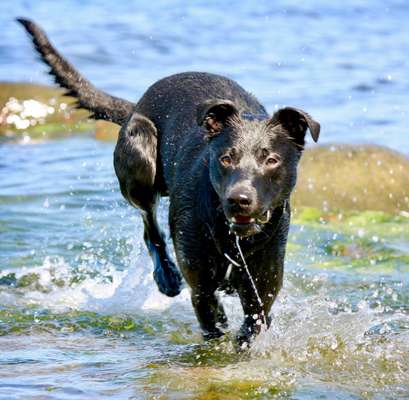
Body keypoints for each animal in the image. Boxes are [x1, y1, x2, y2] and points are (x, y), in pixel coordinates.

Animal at [19, 18, 318, 344]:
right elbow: (212, 324)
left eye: (271, 160)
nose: (239, 199)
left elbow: (252, 325)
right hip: (140, 159)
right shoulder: (201, 290)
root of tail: (135, 105)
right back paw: (166, 276)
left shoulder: (261, 293)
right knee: (149, 224)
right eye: (226, 158)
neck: (233, 240)